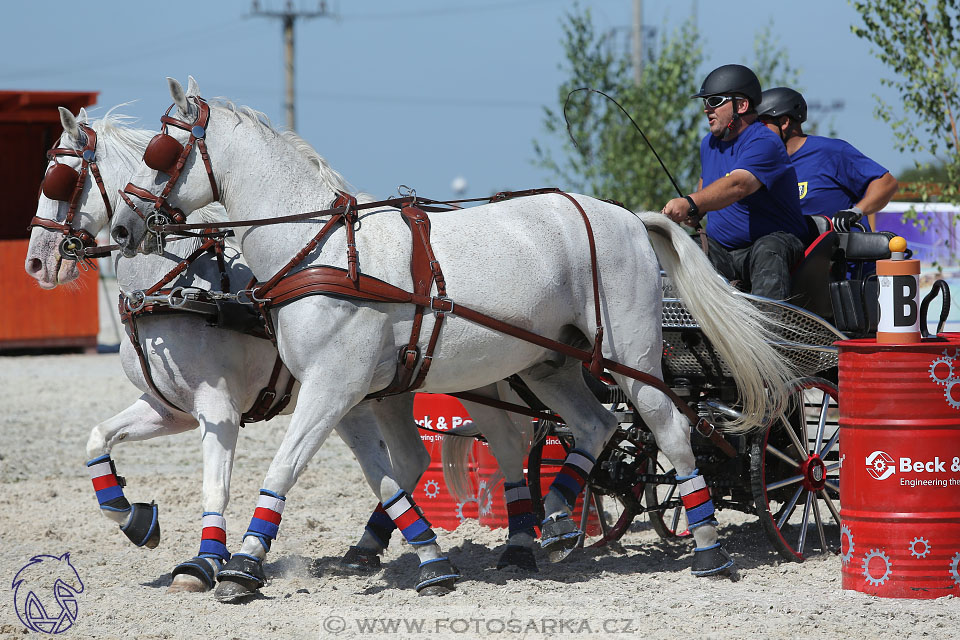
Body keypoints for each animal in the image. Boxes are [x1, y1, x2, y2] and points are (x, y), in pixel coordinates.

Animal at [24, 107, 540, 592]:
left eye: (60, 179)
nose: (36, 262)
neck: (176, 286)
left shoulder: (219, 408)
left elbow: (215, 488)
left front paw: (206, 563)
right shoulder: (171, 408)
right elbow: (98, 439)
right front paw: (136, 520)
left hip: (474, 380)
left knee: (506, 446)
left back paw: (520, 545)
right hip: (391, 390)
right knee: (414, 458)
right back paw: (369, 547)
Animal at [110, 76, 796, 600]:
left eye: (161, 151)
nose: (120, 227)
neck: (321, 249)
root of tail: (627, 214)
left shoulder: (333, 387)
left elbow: (288, 467)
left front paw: (243, 566)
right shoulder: (349, 392)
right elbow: (388, 475)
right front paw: (424, 560)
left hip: (630, 354)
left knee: (668, 428)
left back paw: (708, 548)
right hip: (549, 362)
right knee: (595, 425)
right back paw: (553, 521)